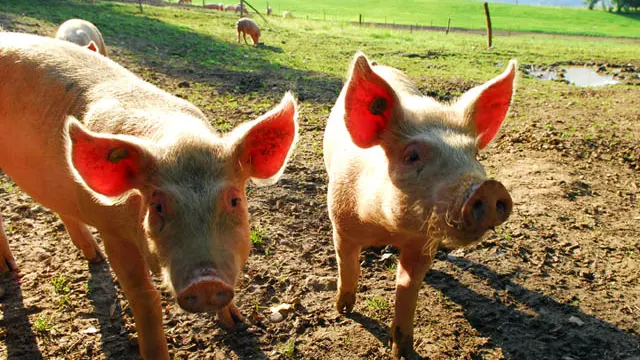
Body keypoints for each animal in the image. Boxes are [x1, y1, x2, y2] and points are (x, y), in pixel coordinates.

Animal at [0, 32, 298, 358]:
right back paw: (10, 269)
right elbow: (144, 295)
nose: (205, 282)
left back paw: (93, 257)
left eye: (234, 200)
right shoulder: (111, 230)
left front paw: (236, 322)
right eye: (157, 206)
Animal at [322, 51, 516, 360]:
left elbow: (408, 288)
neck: (388, 228)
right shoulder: (341, 225)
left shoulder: (424, 243)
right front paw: (343, 310)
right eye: (412, 156)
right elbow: (347, 266)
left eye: (474, 154)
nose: (487, 188)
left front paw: (403, 351)